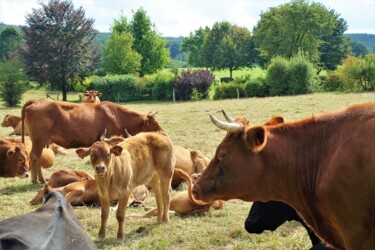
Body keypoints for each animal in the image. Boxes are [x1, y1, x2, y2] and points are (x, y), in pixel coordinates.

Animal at [20, 98, 162, 184]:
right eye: (155, 124)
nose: (163, 133)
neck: (117, 115)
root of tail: (36, 101)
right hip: (39, 140)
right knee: (34, 157)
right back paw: (38, 180)